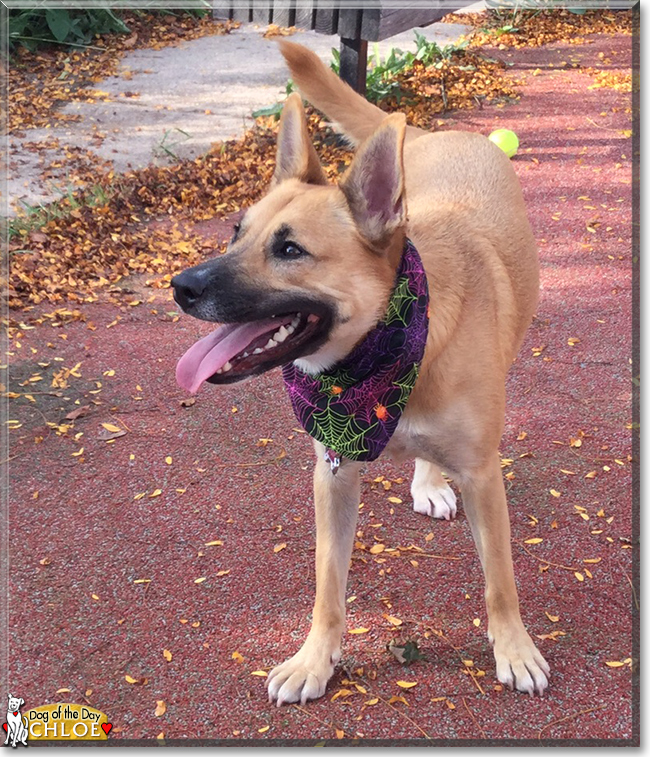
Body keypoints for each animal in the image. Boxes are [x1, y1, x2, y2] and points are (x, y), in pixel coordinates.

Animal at [171, 39, 548, 704]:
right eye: (236, 232)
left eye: (289, 250)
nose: (181, 287)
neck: (381, 356)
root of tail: (433, 132)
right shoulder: (334, 472)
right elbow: (328, 587)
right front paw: (314, 660)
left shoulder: (484, 475)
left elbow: (500, 581)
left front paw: (514, 648)